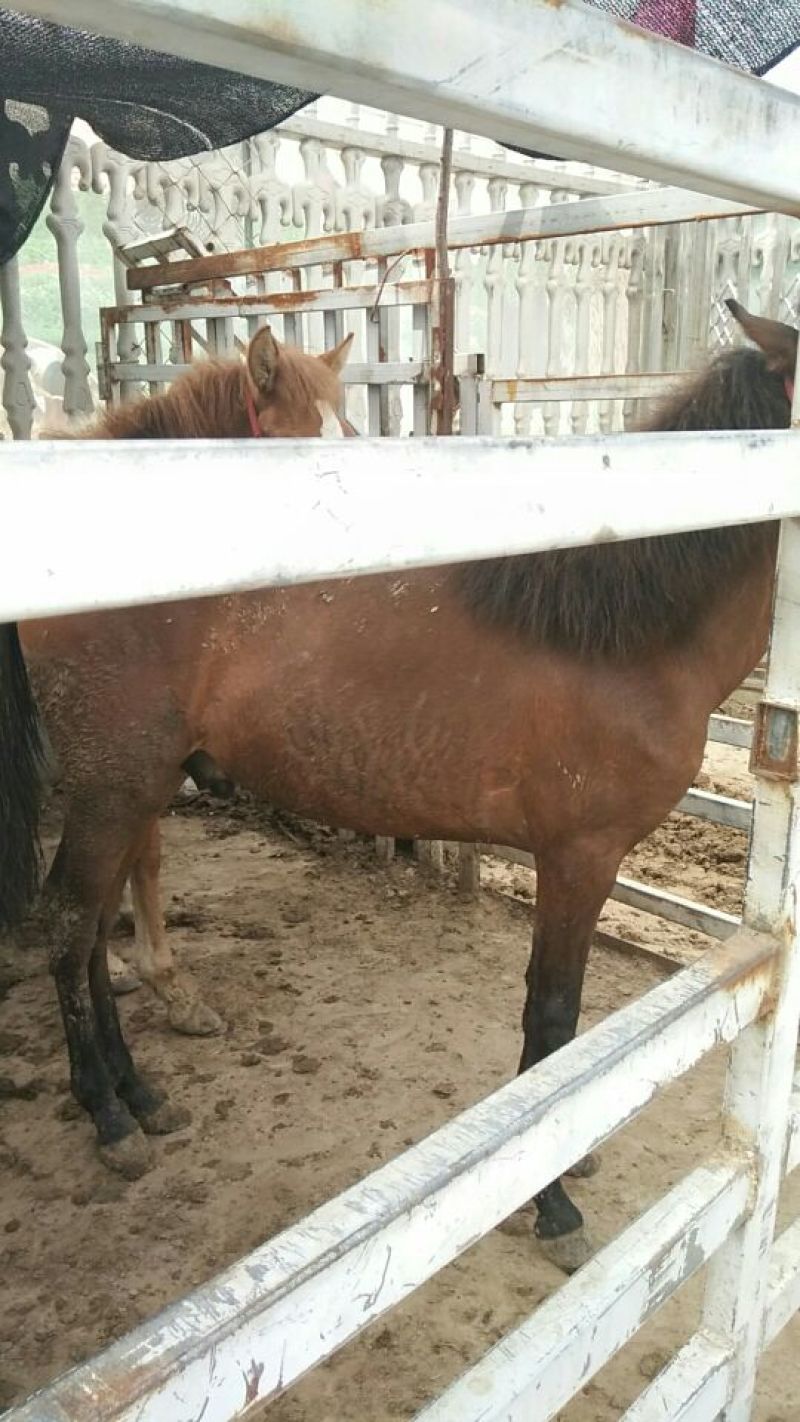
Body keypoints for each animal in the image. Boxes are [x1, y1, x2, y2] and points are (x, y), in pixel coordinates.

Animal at [0, 299, 789, 1274]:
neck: (621, 634)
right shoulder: (579, 861)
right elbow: (553, 1017)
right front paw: (553, 1203)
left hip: (130, 791)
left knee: (93, 929)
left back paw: (139, 1096)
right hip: (112, 791)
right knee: (70, 930)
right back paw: (110, 1118)